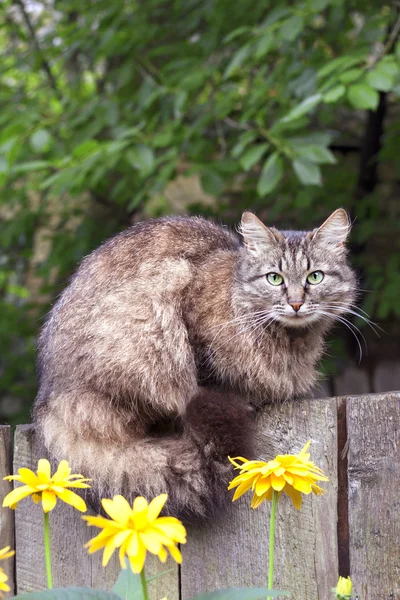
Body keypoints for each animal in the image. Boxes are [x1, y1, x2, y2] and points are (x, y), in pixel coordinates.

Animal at [34, 209, 356, 516]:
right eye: (274, 278)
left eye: (315, 277)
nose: (296, 303)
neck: (289, 340)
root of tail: (50, 401)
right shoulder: (195, 330)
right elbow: (207, 379)